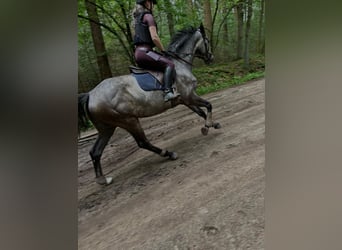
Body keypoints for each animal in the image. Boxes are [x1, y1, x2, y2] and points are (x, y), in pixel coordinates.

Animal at [78, 24, 220, 186]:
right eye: (207, 41)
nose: (211, 58)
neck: (180, 64)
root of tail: (90, 95)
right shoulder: (190, 96)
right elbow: (208, 105)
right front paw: (208, 125)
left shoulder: (185, 100)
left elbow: (201, 112)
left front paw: (212, 124)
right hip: (128, 120)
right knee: (142, 142)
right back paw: (168, 153)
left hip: (107, 127)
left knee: (95, 151)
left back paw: (102, 179)